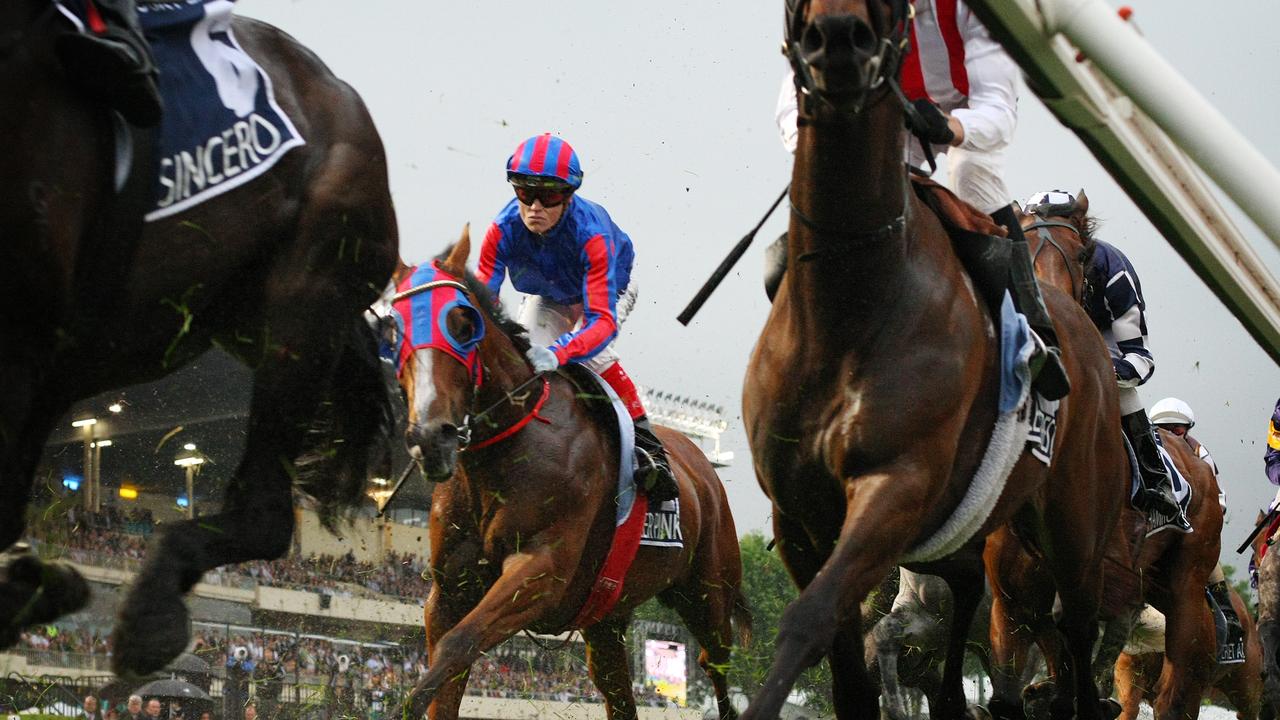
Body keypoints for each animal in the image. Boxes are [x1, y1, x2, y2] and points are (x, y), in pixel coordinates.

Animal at [384, 235, 752, 717]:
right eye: (395, 330)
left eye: (463, 324)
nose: (431, 436)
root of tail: (702, 469)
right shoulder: (449, 590)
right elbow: (443, 675)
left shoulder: (543, 572)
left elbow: (458, 644)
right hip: (607, 617)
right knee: (620, 694)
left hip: (708, 592)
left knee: (716, 666)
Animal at [742, 0, 1121, 712]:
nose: (839, 38)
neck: (850, 303)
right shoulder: (799, 515)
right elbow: (848, 665)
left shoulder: (898, 485)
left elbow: (811, 619)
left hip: (1074, 525)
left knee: (1077, 637)